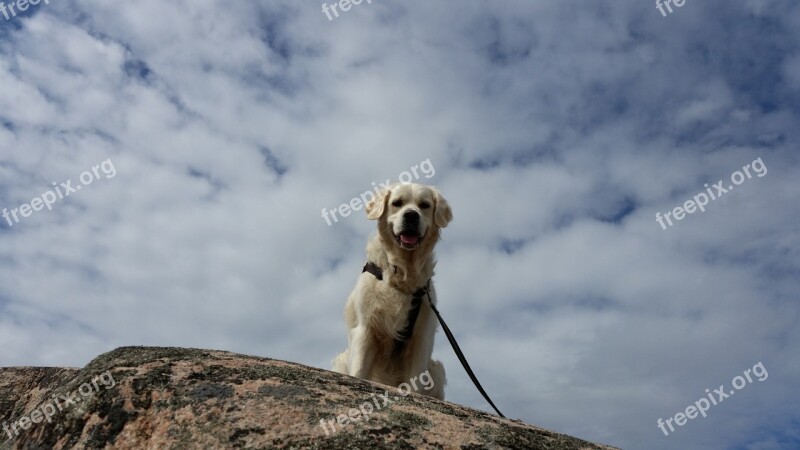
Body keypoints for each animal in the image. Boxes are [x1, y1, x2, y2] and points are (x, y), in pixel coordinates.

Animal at [332, 181, 454, 400]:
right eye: (397, 203)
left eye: (424, 205)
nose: (411, 215)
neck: (402, 271)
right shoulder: (366, 329)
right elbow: (359, 370)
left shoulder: (421, 336)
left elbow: (415, 381)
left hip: (436, 369)